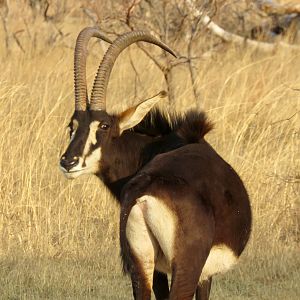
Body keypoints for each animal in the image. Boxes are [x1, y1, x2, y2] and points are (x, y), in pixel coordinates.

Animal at [58, 26, 251, 300]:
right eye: (72, 126)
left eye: (103, 126)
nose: (68, 161)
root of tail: (146, 196)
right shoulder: (206, 273)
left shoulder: (157, 268)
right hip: (186, 267)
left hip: (142, 263)